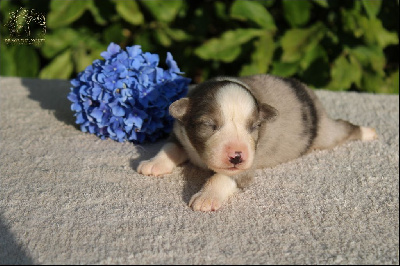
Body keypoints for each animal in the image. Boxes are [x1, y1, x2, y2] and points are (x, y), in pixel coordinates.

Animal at [137, 74, 376, 212]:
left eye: (254, 126)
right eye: (209, 125)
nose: (237, 155)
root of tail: (307, 92)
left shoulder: (249, 161)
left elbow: (223, 177)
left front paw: (206, 196)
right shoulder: (180, 133)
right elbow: (169, 147)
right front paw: (153, 163)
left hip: (326, 134)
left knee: (344, 128)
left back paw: (368, 132)